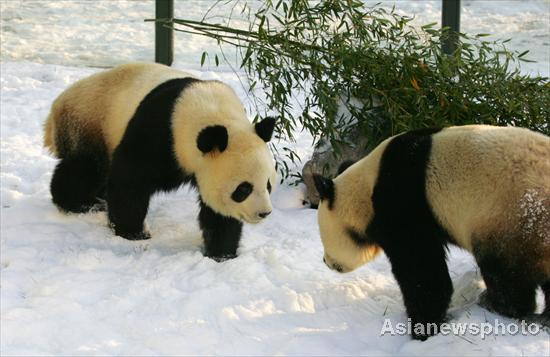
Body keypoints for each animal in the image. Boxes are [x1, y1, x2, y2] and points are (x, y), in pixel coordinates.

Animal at [43, 62, 278, 258]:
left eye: (268, 185)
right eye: (243, 189)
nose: (264, 213)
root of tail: (56, 107)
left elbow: (218, 213)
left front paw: (222, 252)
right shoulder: (159, 132)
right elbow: (130, 179)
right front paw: (134, 233)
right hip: (89, 122)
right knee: (86, 168)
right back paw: (79, 203)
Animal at [314, 126, 550, 340]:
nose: (325, 261)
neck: (366, 187)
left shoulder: (403, 203)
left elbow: (421, 270)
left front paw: (422, 327)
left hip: (512, 220)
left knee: (506, 272)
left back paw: (497, 304)